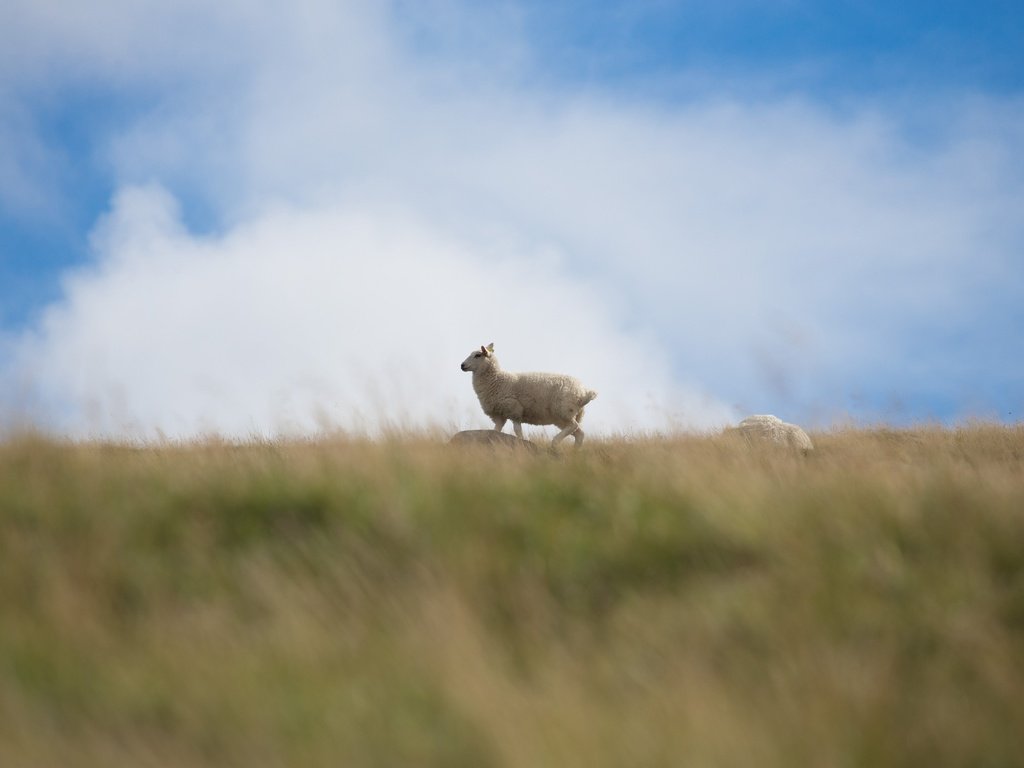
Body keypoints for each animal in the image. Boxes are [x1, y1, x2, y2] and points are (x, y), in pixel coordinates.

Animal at [460, 344, 598, 448]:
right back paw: (575, 453)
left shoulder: (514, 410)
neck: (497, 380)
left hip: (564, 410)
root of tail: (583, 392)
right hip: (566, 416)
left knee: (574, 427)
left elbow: (517, 430)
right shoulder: (500, 415)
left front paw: (521, 442)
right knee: (579, 433)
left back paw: (554, 442)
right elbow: (495, 431)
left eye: (478, 355)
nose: (462, 365)